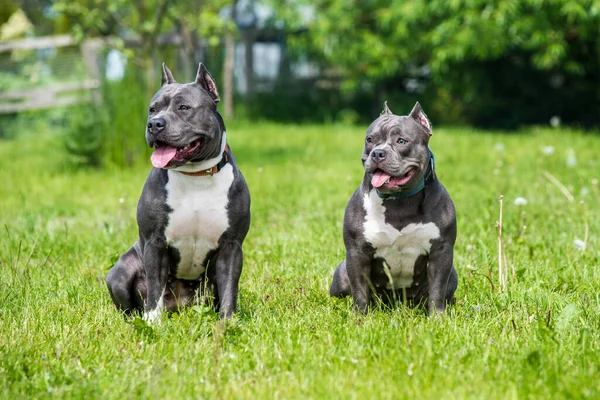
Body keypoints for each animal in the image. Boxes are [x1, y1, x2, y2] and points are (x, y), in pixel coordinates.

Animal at [106, 62, 250, 322]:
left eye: (184, 108)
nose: (154, 124)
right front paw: (152, 322)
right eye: (152, 109)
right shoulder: (155, 243)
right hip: (120, 272)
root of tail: (179, 305)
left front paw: (228, 322)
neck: (195, 176)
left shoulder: (232, 246)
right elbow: (155, 287)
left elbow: (229, 289)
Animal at [330, 102, 458, 316]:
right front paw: (359, 317)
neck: (399, 201)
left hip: (453, 274)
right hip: (341, 273)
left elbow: (437, 290)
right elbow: (359, 290)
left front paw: (437, 317)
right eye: (370, 140)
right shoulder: (356, 253)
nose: (378, 153)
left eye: (401, 141)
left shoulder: (441, 252)